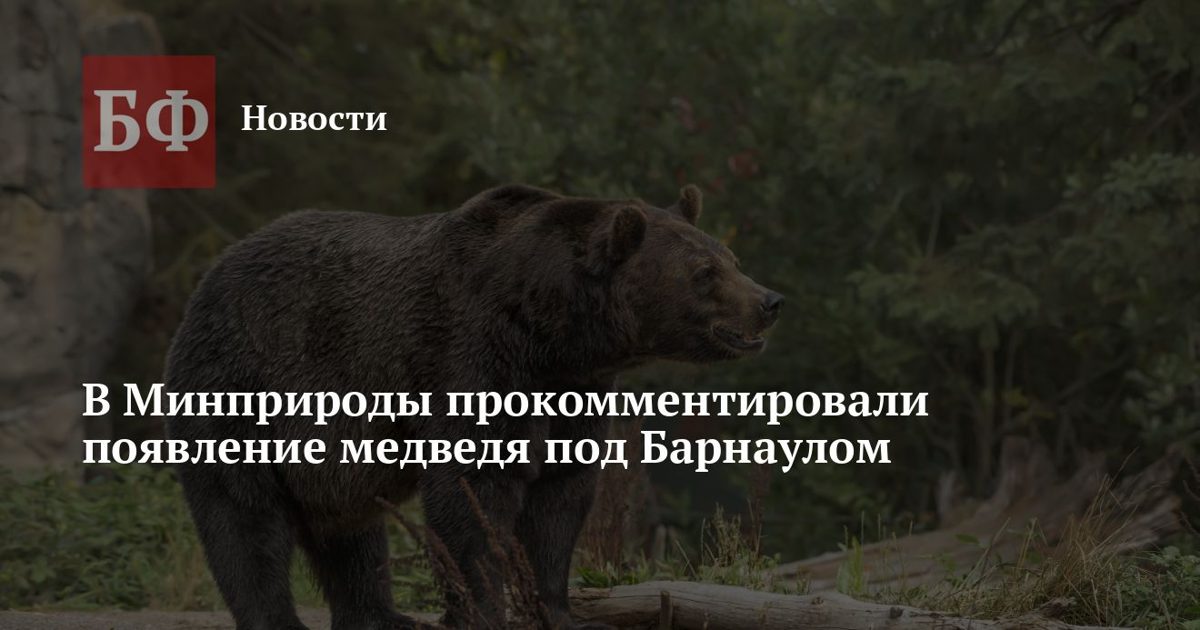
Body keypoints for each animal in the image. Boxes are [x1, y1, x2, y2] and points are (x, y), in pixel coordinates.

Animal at [164, 183, 782, 630]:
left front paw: (557, 609)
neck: (548, 331)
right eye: (704, 273)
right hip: (242, 387)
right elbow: (471, 498)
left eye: (731, 257)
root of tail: (210, 276)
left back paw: (384, 617)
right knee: (245, 521)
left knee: (353, 534)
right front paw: (482, 606)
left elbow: (561, 501)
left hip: (330, 458)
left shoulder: (570, 395)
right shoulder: (469, 360)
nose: (769, 301)